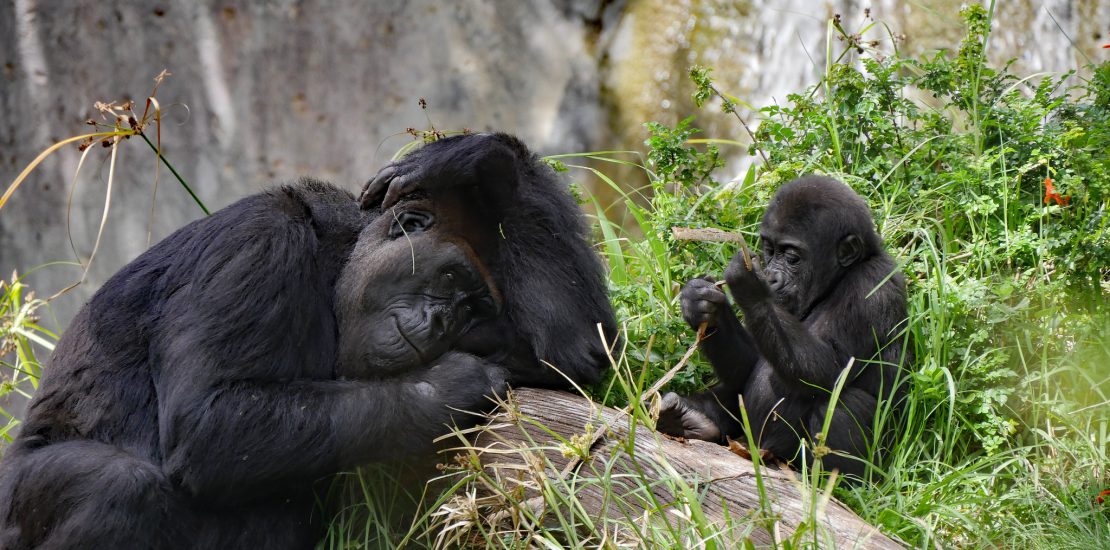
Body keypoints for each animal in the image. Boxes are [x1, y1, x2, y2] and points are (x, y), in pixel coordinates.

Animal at [0, 134, 617, 550]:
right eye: (451, 280)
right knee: (119, 488)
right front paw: (455, 384)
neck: (332, 257)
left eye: (474, 308)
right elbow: (210, 419)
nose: (440, 321)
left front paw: (485, 160)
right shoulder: (258, 243)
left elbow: (576, 353)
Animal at [657, 175, 910, 477]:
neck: (837, 281)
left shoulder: (871, 288)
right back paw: (689, 418)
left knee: (842, 404)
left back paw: (836, 482)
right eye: (769, 250)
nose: (771, 277)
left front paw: (750, 284)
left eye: (792, 257)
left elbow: (828, 370)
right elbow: (750, 367)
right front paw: (702, 304)